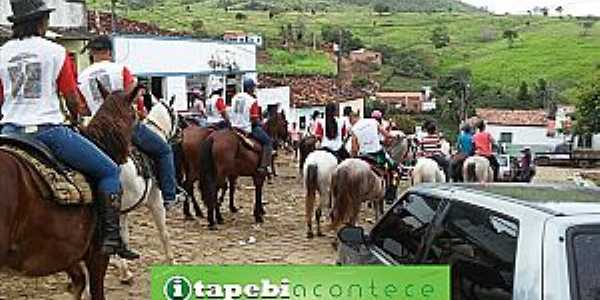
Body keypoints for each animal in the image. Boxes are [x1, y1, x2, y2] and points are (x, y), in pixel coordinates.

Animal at [112, 99, 177, 284]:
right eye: (175, 114)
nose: (180, 133)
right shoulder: (156, 202)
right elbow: (164, 233)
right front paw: (172, 261)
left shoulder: (123, 212)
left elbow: (123, 237)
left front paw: (122, 268)